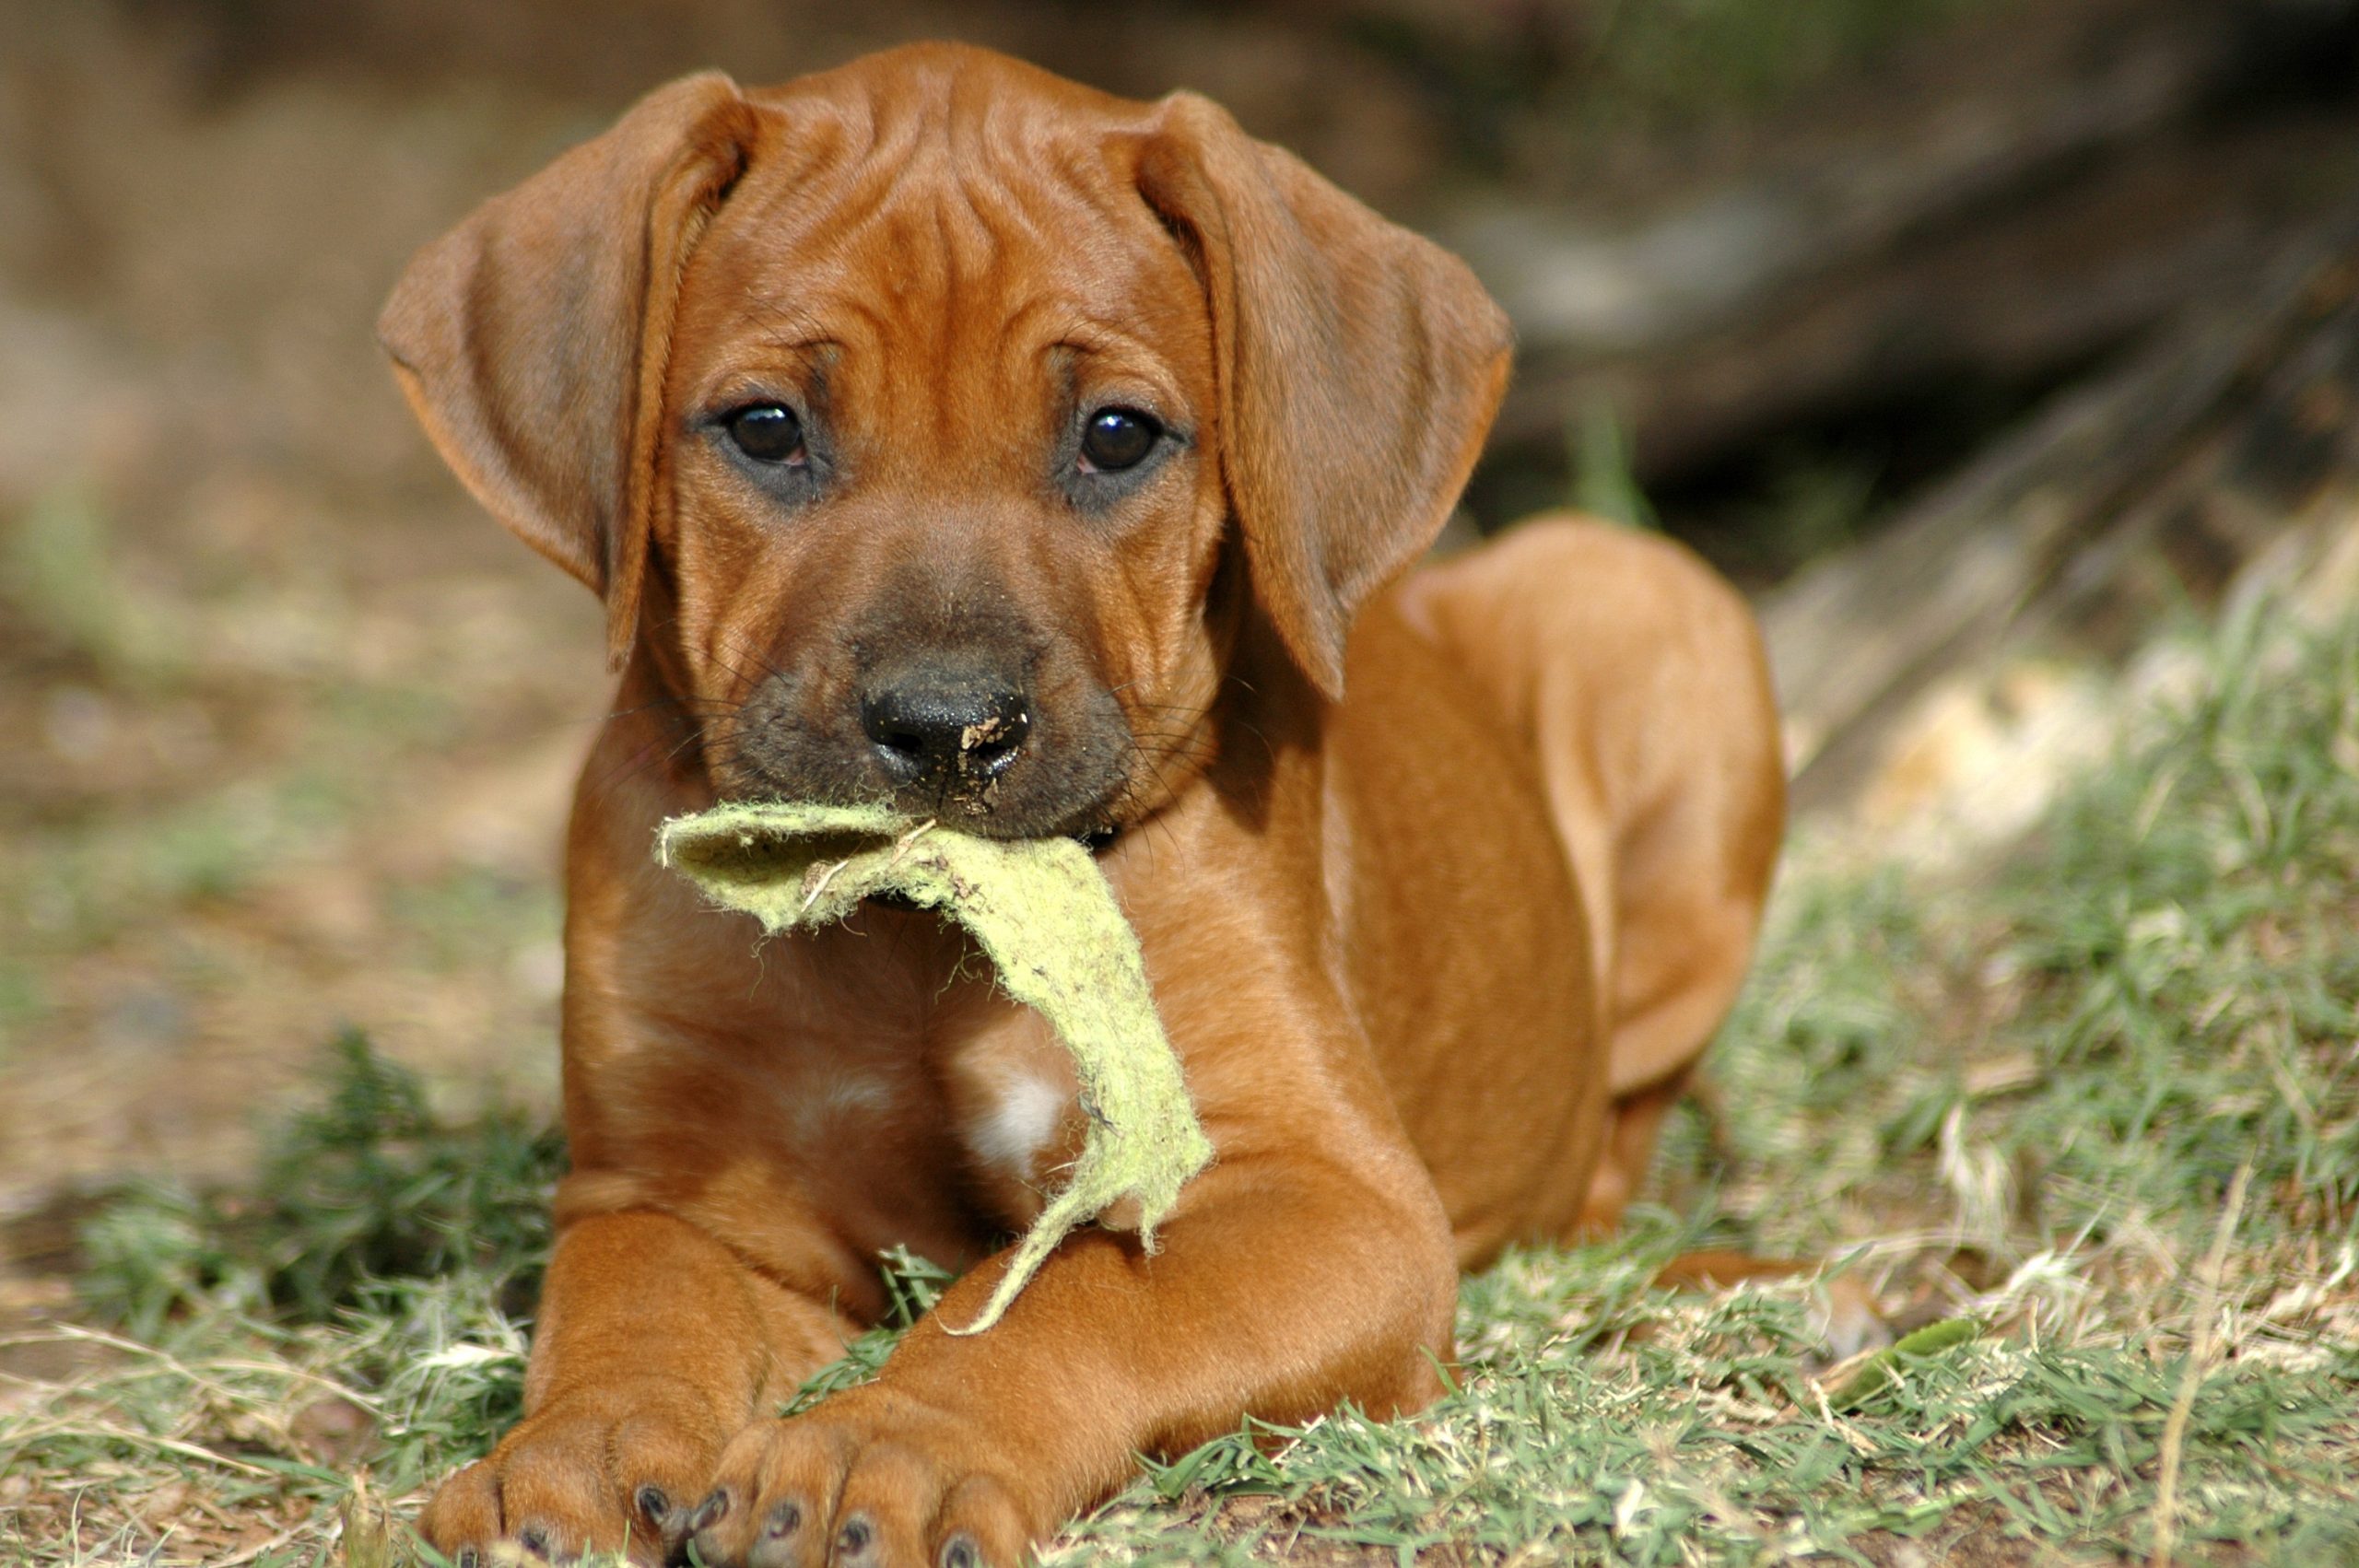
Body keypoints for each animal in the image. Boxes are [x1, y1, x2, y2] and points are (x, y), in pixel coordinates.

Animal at [377, 40, 1774, 1565]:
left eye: (1115, 436)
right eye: (764, 429)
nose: (946, 725)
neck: (920, 932)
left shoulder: (1321, 1193)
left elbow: (1059, 1299)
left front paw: (884, 1446)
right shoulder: (680, 1191)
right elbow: (631, 1304)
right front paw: (567, 1455)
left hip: (1645, 599)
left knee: (1610, 1158)